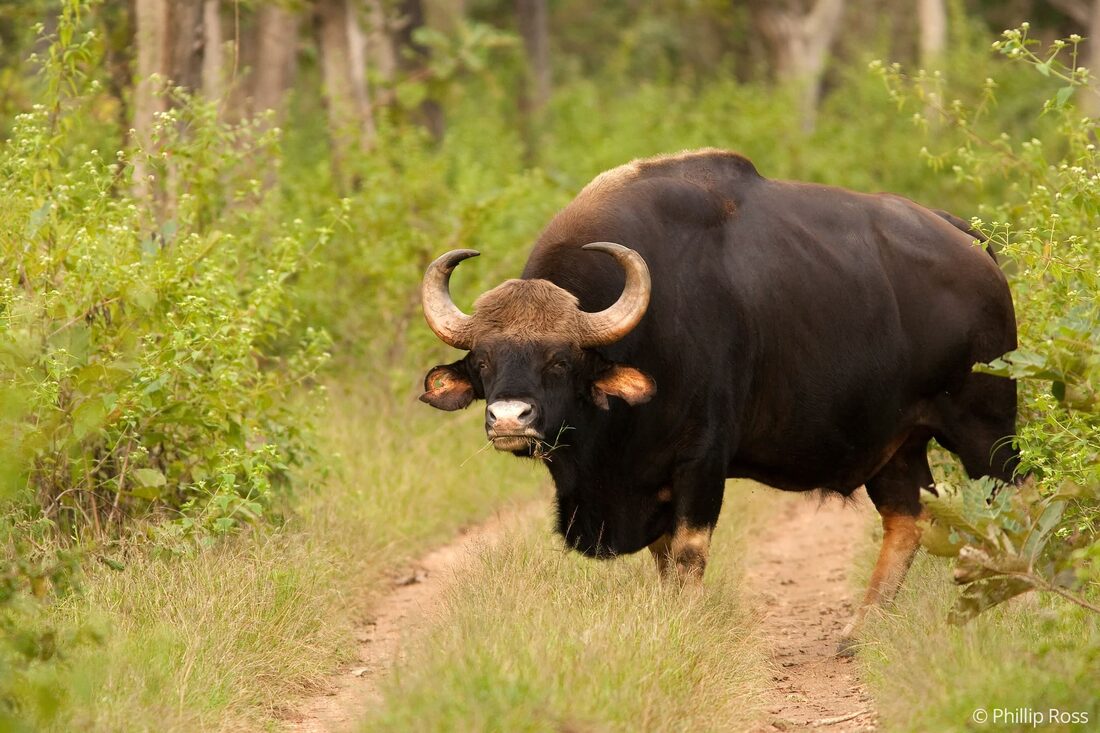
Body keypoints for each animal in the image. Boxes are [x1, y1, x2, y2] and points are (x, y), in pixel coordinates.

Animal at [418, 148, 1019, 652]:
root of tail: (972, 246)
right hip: (897, 444)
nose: (508, 418)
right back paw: (860, 630)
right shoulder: (647, 480)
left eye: (560, 360)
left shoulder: (701, 459)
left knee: (1010, 504)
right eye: (483, 361)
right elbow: (663, 559)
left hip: (987, 431)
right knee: (908, 518)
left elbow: (688, 552)